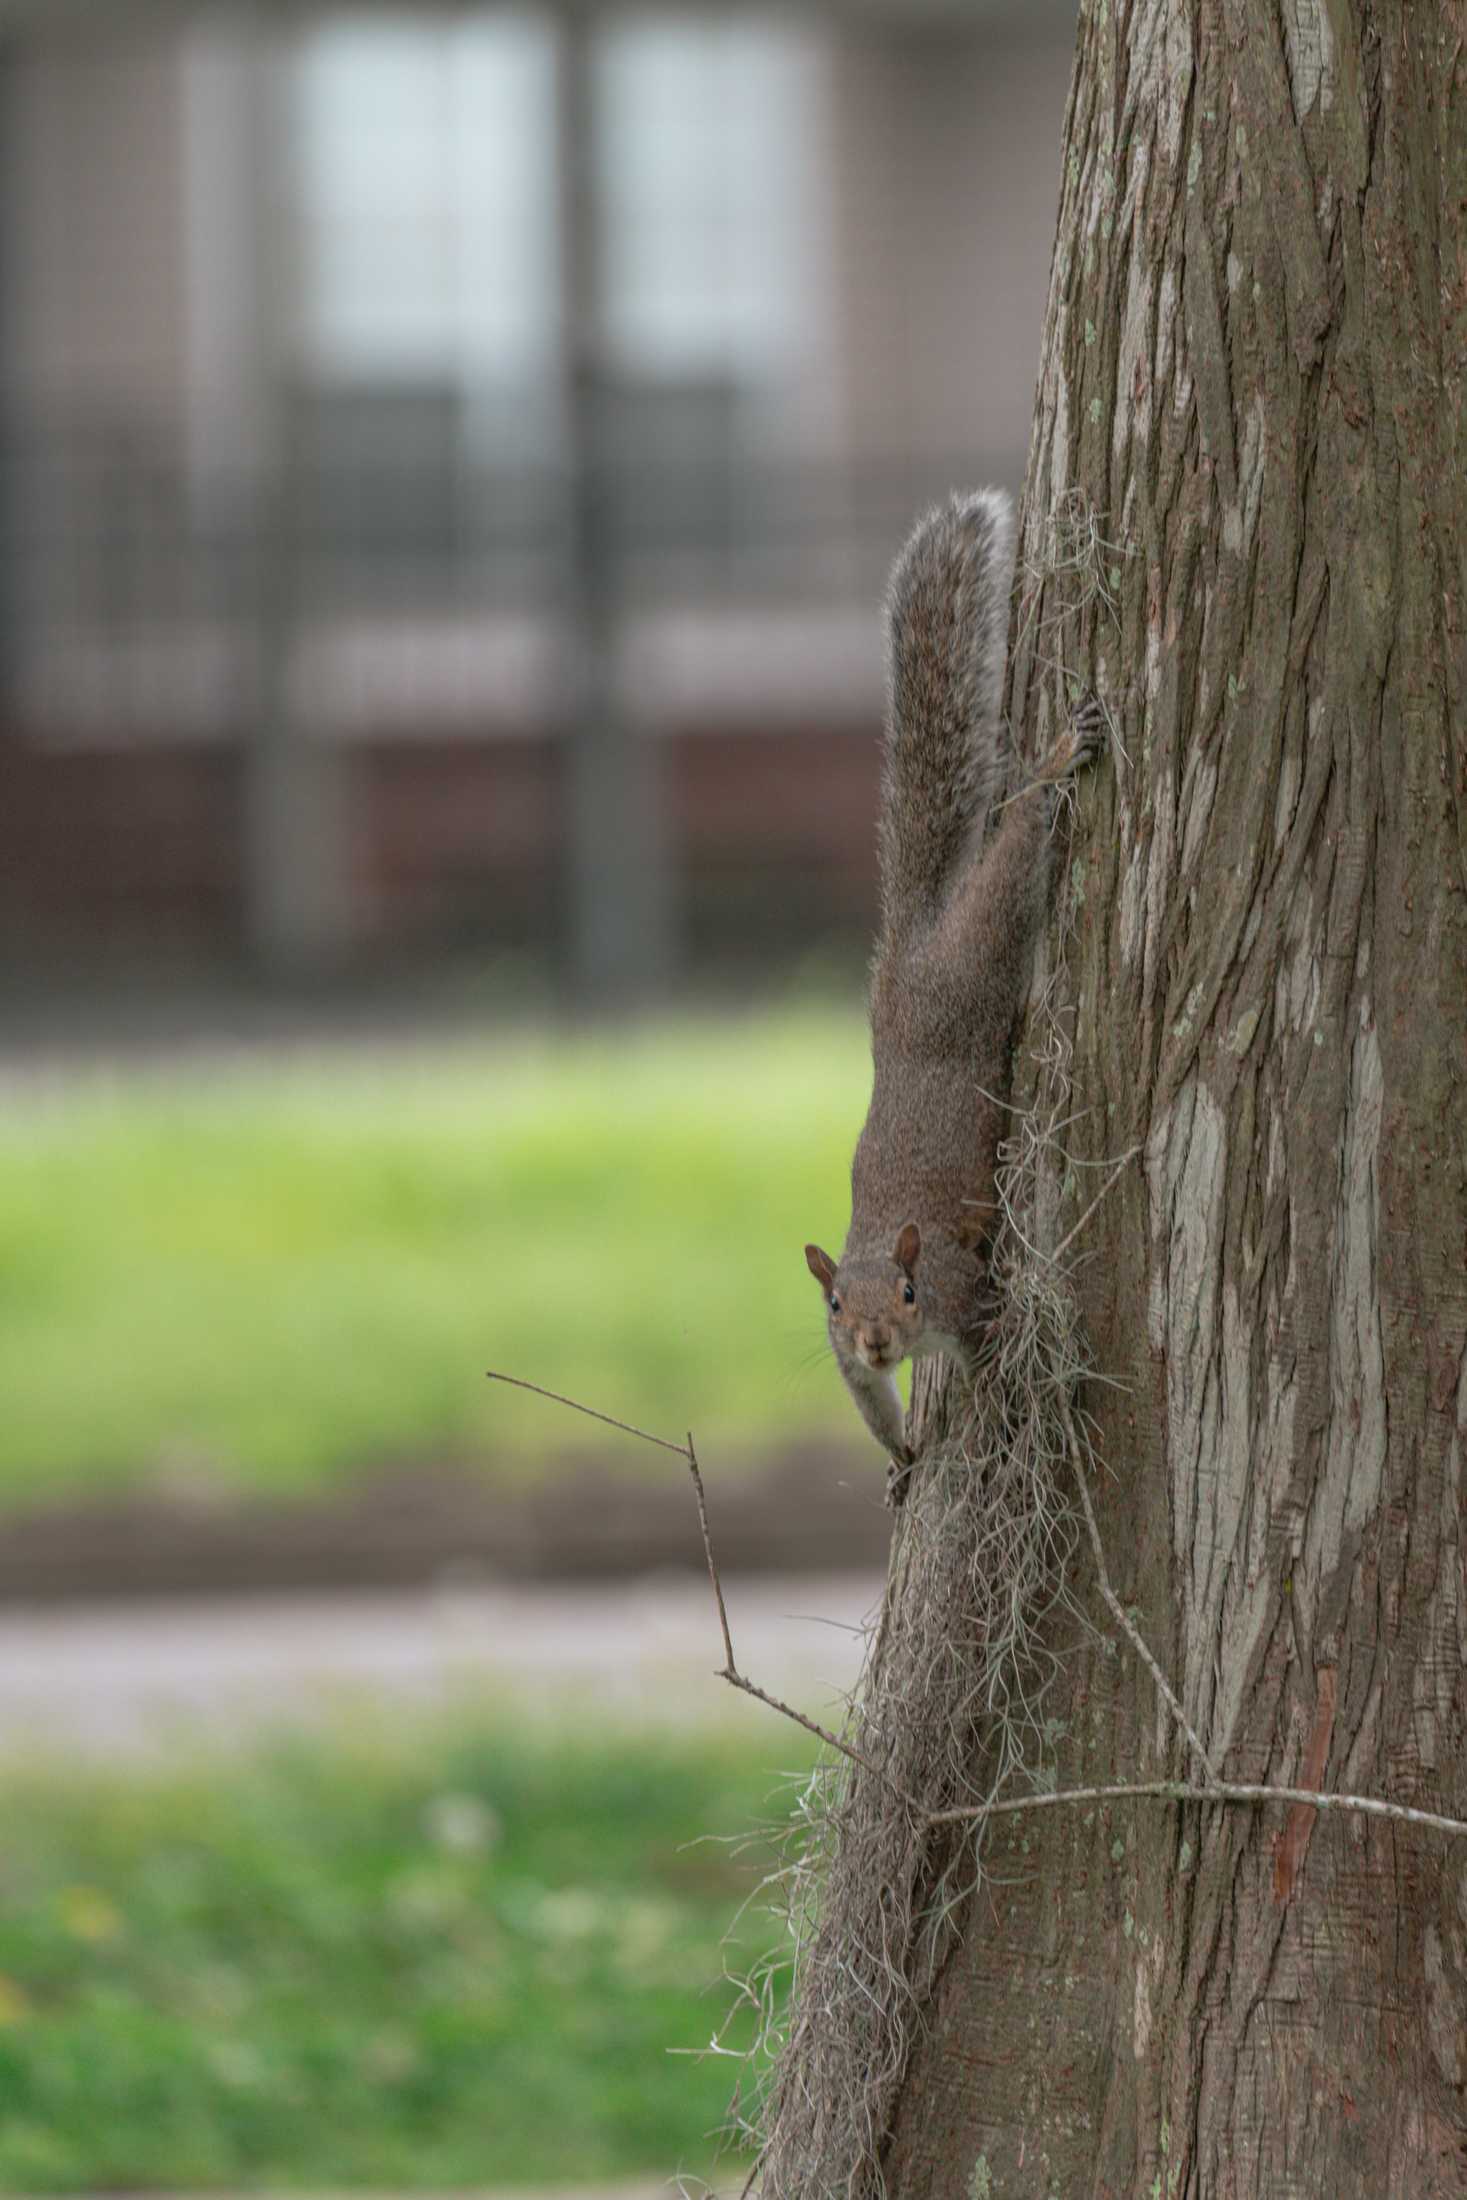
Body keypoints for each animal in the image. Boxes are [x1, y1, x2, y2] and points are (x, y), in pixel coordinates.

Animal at [804, 490, 1099, 1504]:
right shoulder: (848, 1372)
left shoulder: (961, 1296)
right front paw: (901, 1461)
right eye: (833, 1304)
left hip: (974, 965)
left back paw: (1054, 764)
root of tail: (904, 967)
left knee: (1012, 863)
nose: (877, 1340)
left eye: (905, 1292)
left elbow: (994, 1349)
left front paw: (1002, 1417)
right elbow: (871, 1410)